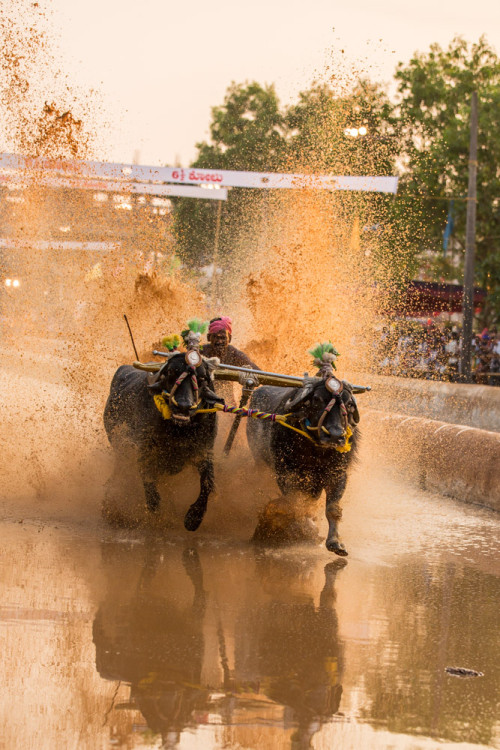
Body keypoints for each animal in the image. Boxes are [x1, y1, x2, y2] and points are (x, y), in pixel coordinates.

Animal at [104, 354, 223, 536]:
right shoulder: (145, 452)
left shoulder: (204, 451)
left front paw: (193, 518)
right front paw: (159, 519)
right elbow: (150, 487)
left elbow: (208, 483)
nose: (184, 406)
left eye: (202, 378)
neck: (178, 430)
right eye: (172, 373)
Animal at [247, 376, 360, 560]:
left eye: (349, 403)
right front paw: (307, 529)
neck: (317, 450)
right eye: (317, 399)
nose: (336, 435)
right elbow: (297, 504)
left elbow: (333, 509)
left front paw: (335, 542)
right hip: (258, 459)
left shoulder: (338, 475)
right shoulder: (286, 474)